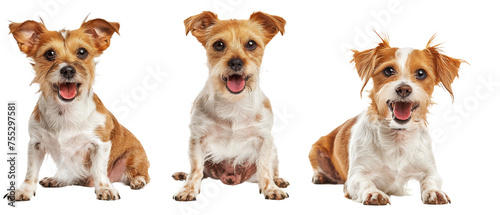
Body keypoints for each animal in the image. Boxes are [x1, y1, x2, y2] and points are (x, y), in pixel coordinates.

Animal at [9, 17, 150, 201]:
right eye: (49, 54)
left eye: (82, 52)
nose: (68, 70)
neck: (66, 111)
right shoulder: (36, 144)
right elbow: (31, 172)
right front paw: (24, 190)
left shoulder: (100, 144)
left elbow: (99, 171)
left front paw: (105, 188)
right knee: (72, 177)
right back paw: (57, 180)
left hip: (133, 158)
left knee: (140, 174)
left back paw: (137, 180)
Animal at [172, 11, 290, 200]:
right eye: (219, 45)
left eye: (251, 44)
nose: (235, 62)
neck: (234, 103)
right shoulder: (197, 139)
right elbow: (196, 169)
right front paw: (189, 189)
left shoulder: (265, 140)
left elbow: (265, 168)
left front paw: (270, 188)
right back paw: (184, 175)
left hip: (274, 151)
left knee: (273, 168)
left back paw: (278, 180)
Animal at [308, 34, 464, 205]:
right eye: (388, 70)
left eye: (421, 73)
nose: (403, 89)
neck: (397, 138)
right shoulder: (355, 175)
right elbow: (365, 182)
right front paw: (374, 193)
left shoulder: (430, 169)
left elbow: (430, 180)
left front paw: (434, 191)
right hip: (315, 151)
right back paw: (319, 176)